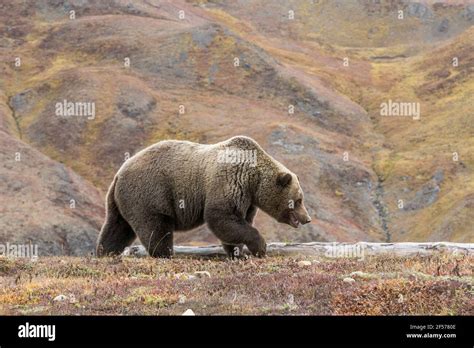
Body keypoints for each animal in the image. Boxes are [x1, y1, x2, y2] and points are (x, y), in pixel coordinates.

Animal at [96, 136, 312, 258]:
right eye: (298, 200)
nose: (307, 218)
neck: (253, 179)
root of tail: (119, 173)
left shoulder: (247, 199)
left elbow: (237, 222)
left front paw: (238, 253)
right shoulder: (228, 182)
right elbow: (222, 217)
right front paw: (260, 247)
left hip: (120, 201)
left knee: (116, 227)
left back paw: (105, 252)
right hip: (149, 194)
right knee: (156, 227)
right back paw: (165, 253)